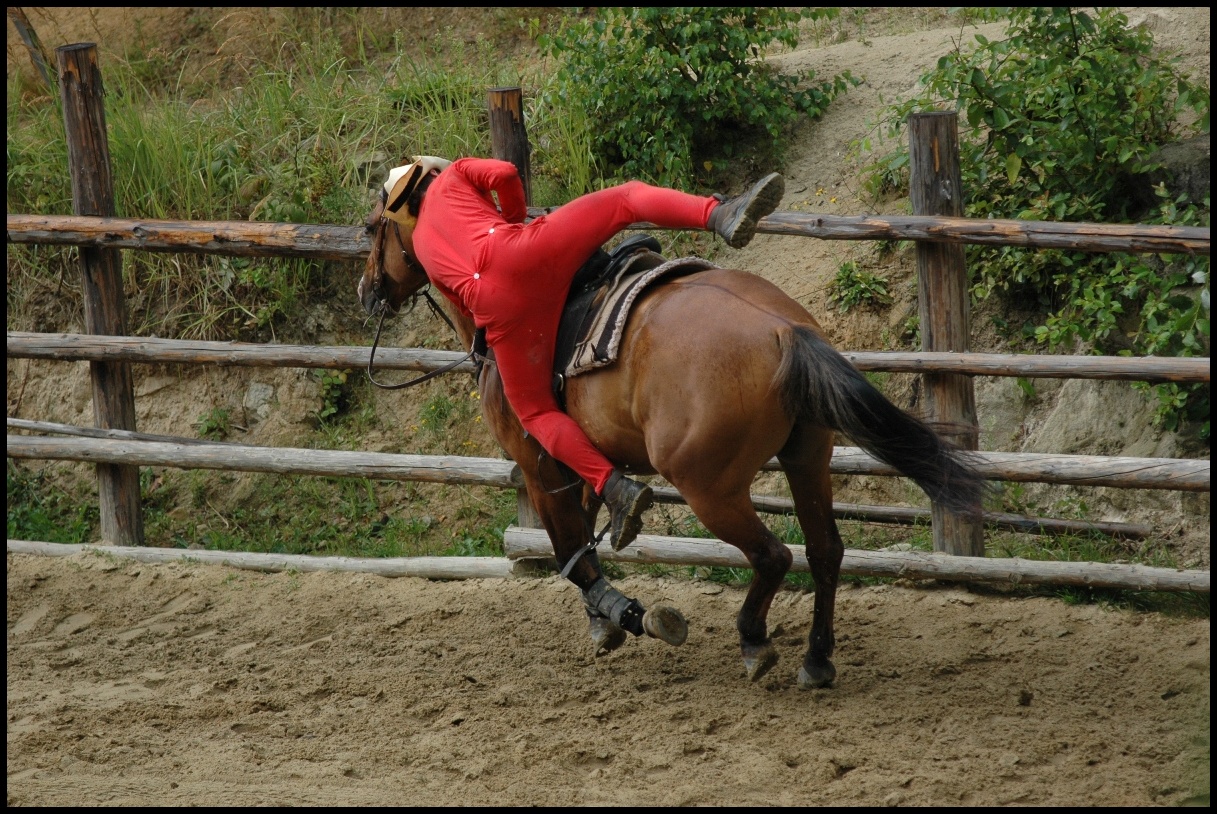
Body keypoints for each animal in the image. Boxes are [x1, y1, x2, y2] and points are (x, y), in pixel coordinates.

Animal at [355, 197, 983, 686]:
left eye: (372, 227)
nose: (367, 290)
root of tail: (782, 329)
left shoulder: (541, 467)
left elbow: (569, 552)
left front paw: (623, 615)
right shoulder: (588, 464)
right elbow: (586, 536)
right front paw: (604, 617)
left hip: (709, 486)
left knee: (773, 555)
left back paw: (754, 640)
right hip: (807, 457)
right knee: (825, 550)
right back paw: (817, 658)